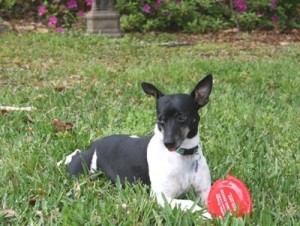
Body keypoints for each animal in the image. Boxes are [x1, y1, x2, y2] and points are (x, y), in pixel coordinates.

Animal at [58, 74, 213, 219]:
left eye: (181, 117)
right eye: (160, 119)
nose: (167, 143)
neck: (183, 155)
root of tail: (94, 145)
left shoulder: (204, 191)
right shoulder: (161, 197)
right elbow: (188, 203)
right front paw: (206, 214)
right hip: (82, 170)